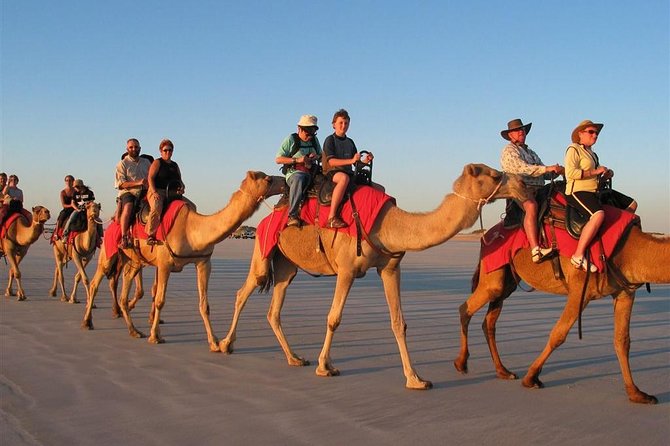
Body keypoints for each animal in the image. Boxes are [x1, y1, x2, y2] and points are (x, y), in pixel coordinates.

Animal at [82, 171, 286, 351]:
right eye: (268, 179)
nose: (284, 180)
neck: (192, 229)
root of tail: (111, 223)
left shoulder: (203, 263)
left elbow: (204, 305)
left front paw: (215, 343)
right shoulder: (164, 264)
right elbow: (160, 300)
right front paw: (155, 336)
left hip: (134, 261)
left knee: (124, 291)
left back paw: (134, 330)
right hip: (108, 252)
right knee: (95, 283)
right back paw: (87, 322)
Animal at [220, 164, 528, 389]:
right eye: (495, 175)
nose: (523, 185)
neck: (389, 224)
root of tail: (267, 218)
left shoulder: (390, 268)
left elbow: (398, 323)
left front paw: (415, 379)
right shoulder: (346, 269)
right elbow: (334, 318)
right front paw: (325, 367)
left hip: (286, 265)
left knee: (274, 308)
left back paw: (294, 358)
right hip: (263, 250)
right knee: (244, 291)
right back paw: (225, 345)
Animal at [454, 224, 670, 404]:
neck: (632, 251)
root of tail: (486, 236)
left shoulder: (625, 293)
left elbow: (622, 341)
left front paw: (636, 393)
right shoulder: (580, 289)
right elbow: (558, 334)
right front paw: (531, 378)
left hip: (508, 281)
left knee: (489, 320)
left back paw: (502, 371)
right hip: (493, 275)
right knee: (466, 307)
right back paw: (461, 363)